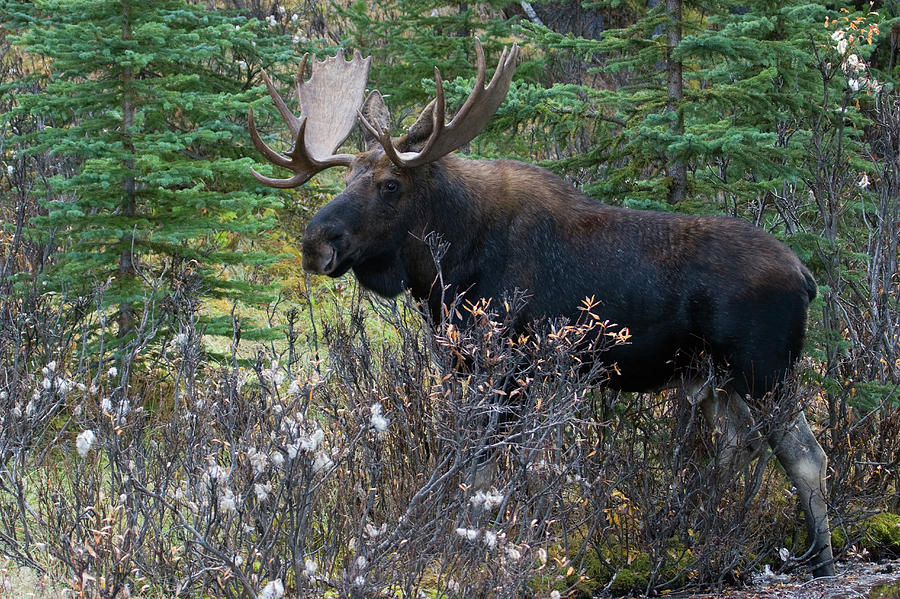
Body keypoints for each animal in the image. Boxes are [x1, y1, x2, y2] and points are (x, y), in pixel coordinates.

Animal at [248, 41, 836, 576]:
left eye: (390, 183)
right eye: (346, 179)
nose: (315, 242)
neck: (448, 265)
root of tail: (806, 278)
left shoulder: (508, 365)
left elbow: (485, 473)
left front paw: (471, 550)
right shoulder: (465, 364)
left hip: (764, 368)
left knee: (806, 455)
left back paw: (820, 558)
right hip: (712, 376)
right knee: (741, 446)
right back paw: (700, 530)